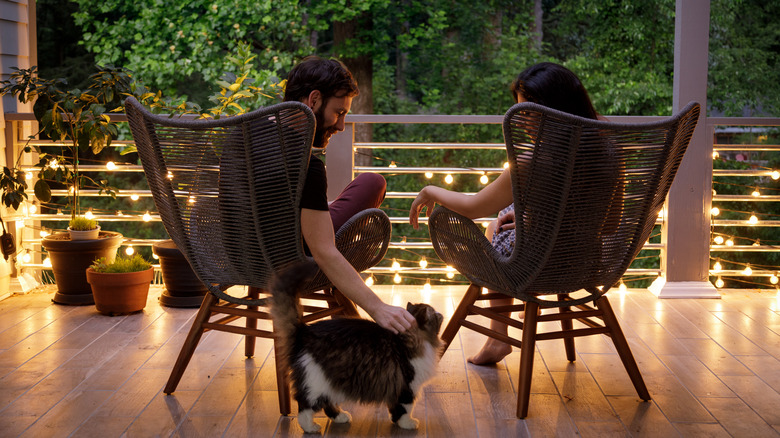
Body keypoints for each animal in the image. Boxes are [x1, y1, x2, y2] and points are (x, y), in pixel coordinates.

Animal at [272, 262, 444, 432]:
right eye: (435, 314)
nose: (440, 313)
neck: (407, 339)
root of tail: (304, 331)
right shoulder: (408, 386)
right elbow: (405, 409)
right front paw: (407, 424)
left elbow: (395, 409)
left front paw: (396, 421)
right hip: (315, 382)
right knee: (304, 405)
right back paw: (310, 427)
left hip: (331, 383)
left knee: (327, 404)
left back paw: (340, 417)